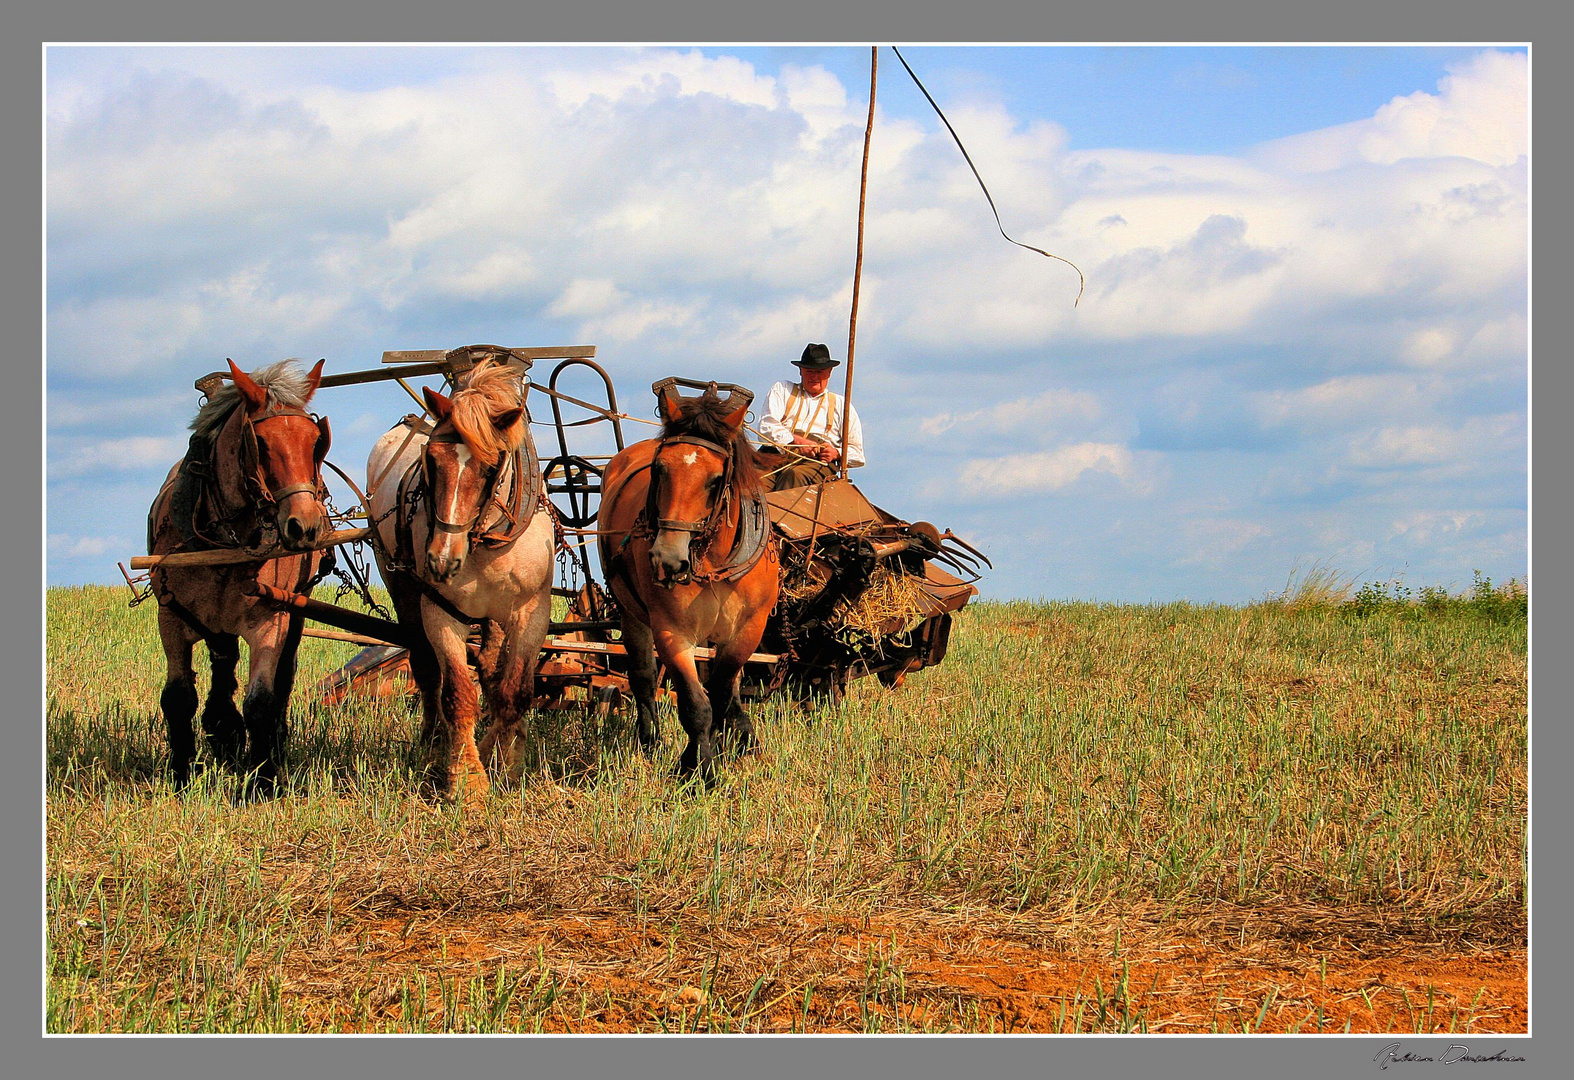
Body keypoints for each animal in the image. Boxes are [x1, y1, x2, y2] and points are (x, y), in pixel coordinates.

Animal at [147, 358, 332, 799]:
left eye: (314, 440)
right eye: (260, 443)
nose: (305, 527)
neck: (223, 540)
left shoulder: (270, 620)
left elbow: (261, 701)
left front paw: (264, 781)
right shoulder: (171, 618)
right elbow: (178, 697)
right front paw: (181, 776)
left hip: (294, 612)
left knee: (283, 679)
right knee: (223, 664)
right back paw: (223, 735)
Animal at [365, 363, 557, 802]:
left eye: (490, 467)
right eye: (432, 461)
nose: (441, 559)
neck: (487, 536)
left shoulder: (532, 611)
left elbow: (513, 693)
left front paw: (506, 762)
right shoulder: (440, 610)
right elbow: (457, 694)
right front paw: (467, 779)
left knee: (490, 668)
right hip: (402, 588)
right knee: (426, 670)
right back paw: (433, 745)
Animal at [594, 380, 780, 777]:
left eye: (715, 480)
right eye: (659, 469)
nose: (668, 560)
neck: (714, 561)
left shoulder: (748, 629)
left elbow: (723, 692)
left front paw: (729, 746)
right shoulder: (670, 630)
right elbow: (695, 702)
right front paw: (698, 769)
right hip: (631, 613)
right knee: (643, 676)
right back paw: (649, 741)